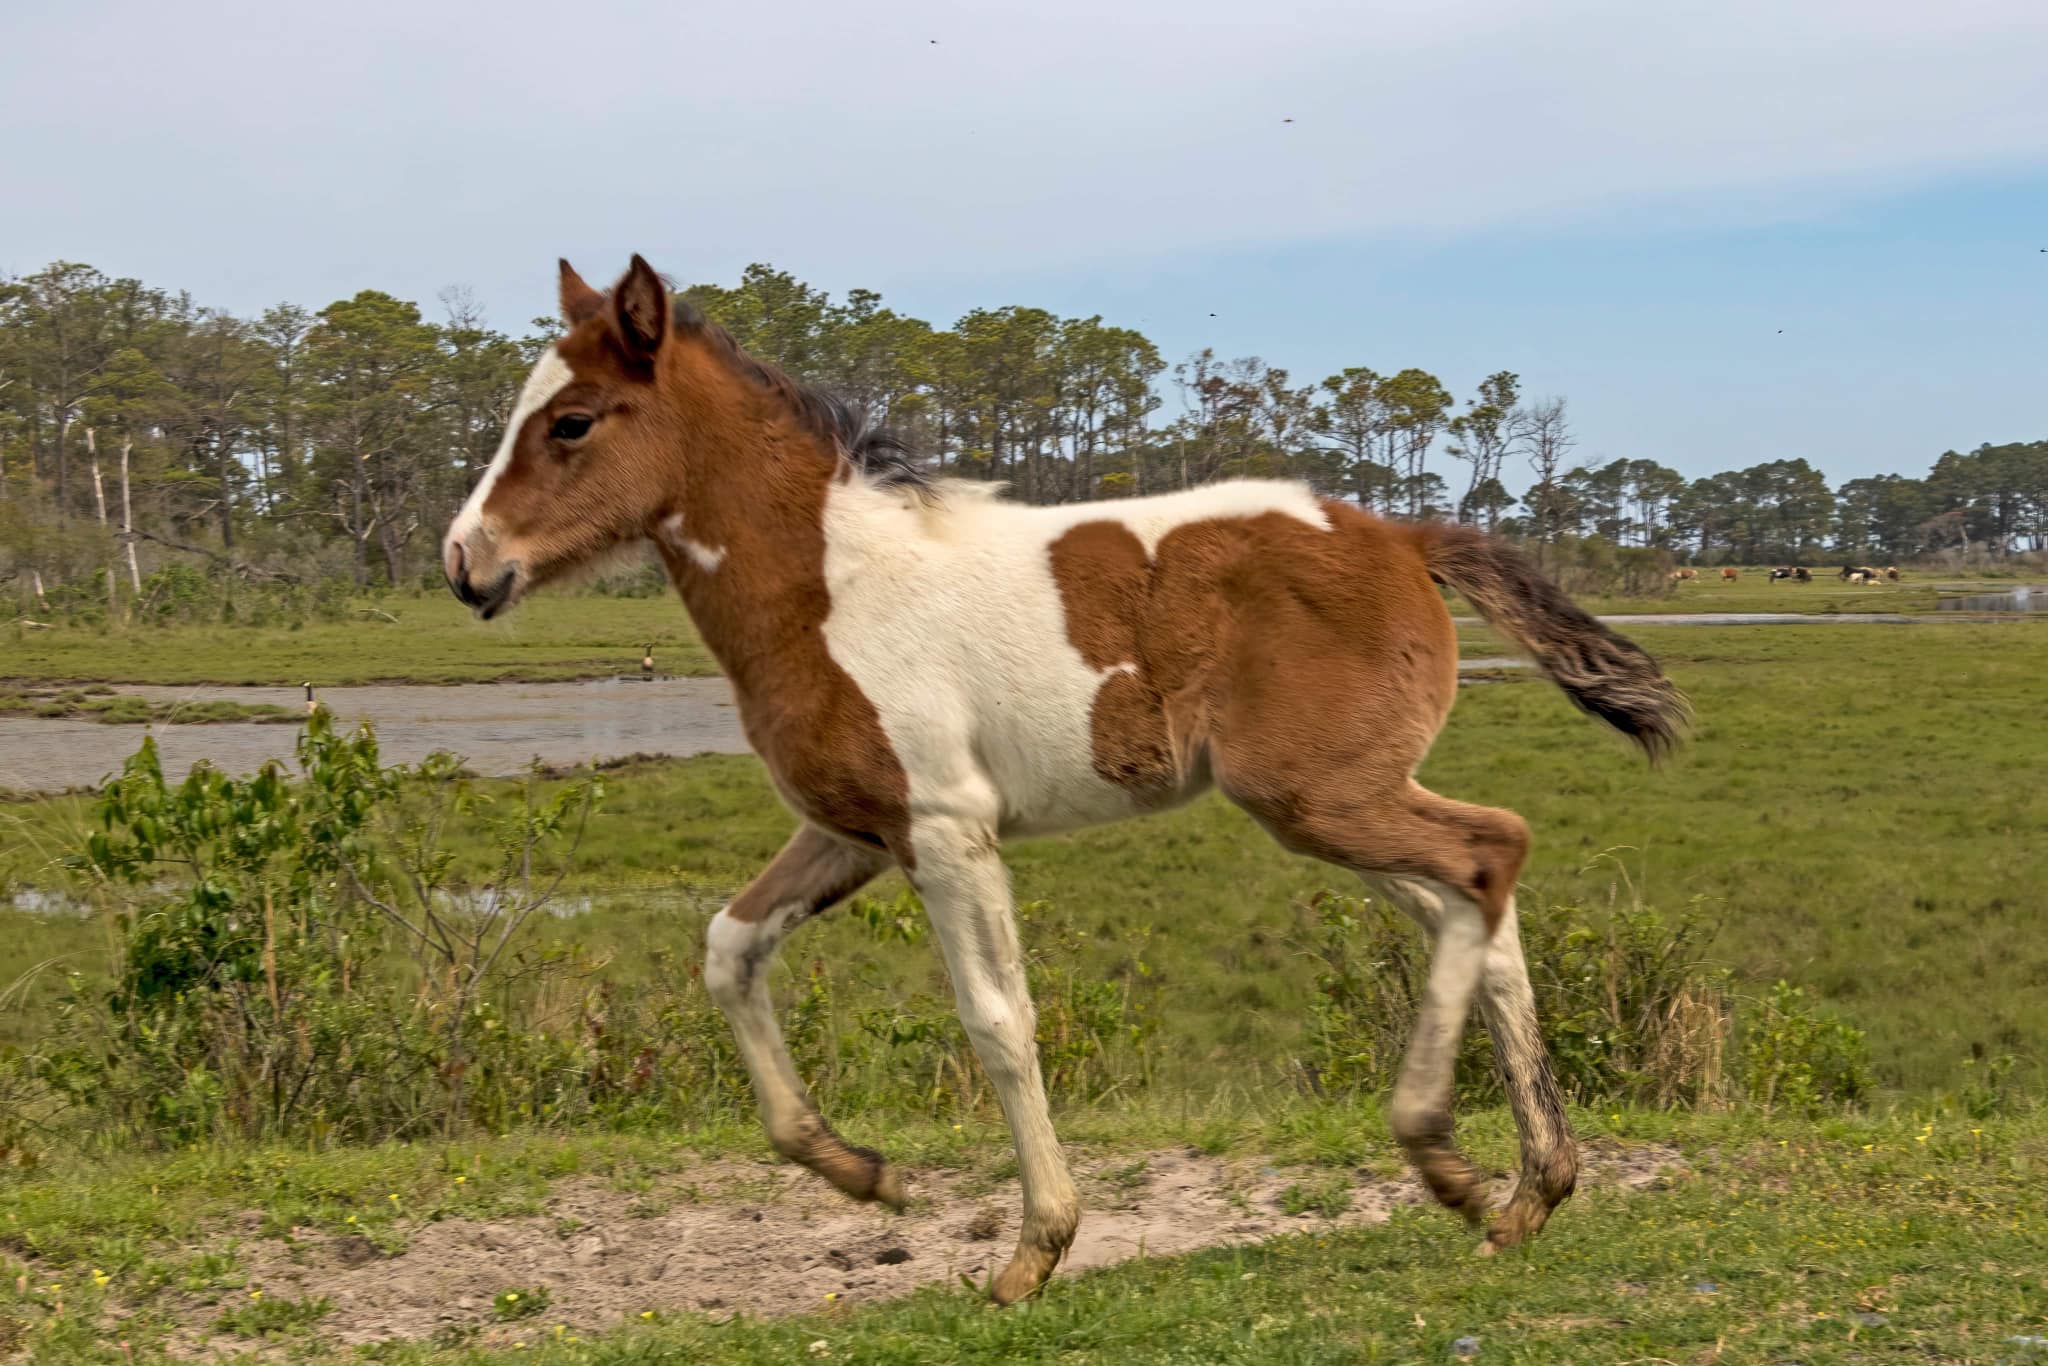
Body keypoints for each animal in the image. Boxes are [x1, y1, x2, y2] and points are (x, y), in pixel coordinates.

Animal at [439, 257, 1689, 1305]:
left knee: (1488, 853)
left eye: (570, 421)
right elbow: (727, 948)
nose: (464, 562)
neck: (830, 588)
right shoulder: (852, 830)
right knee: (1473, 908)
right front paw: (865, 1172)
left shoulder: (945, 828)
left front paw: (1032, 1250)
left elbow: (997, 1020)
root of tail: (1401, 535)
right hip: (1340, 805)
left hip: (1322, 797)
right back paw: (1521, 1192)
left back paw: (1442, 1152)